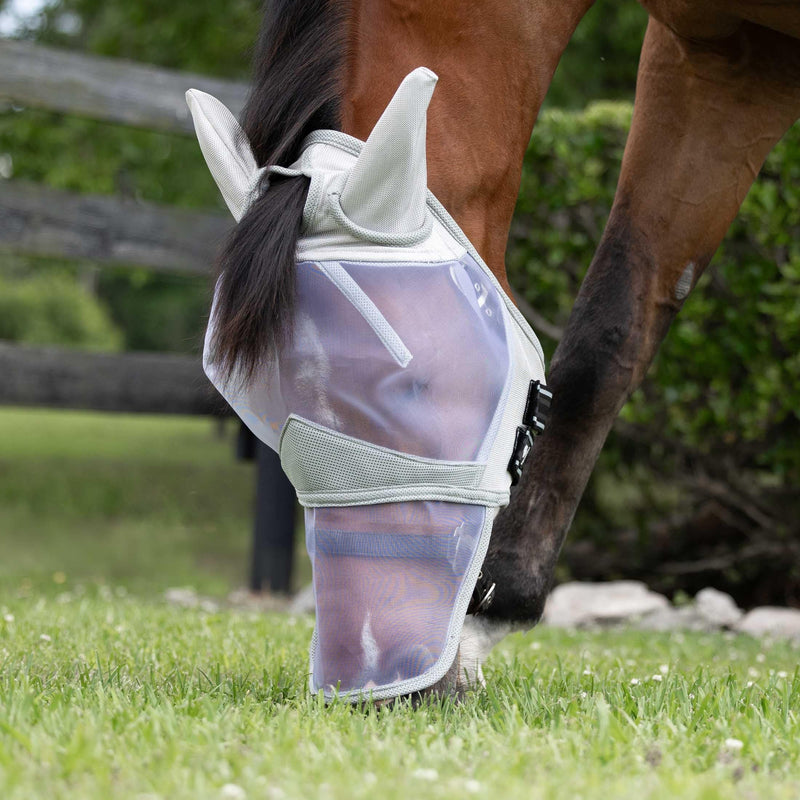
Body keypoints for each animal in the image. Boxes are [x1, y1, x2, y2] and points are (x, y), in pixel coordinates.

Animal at [209, 0, 800, 697]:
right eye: (247, 401)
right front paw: (488, 614)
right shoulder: (721, 61)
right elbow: (609, 335)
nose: (384, 673)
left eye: (423, 384)